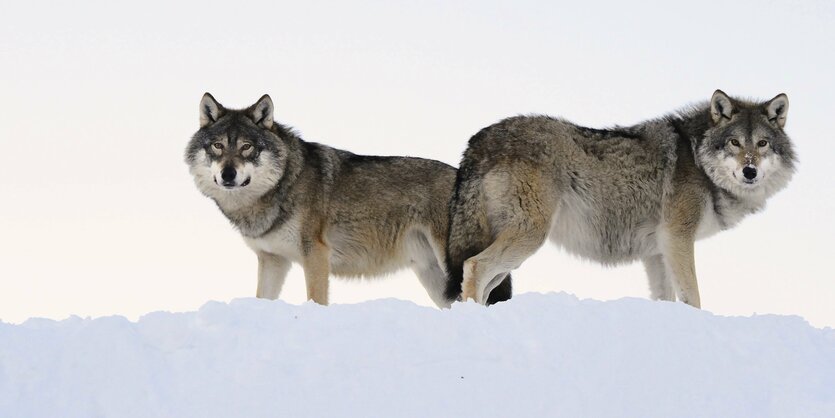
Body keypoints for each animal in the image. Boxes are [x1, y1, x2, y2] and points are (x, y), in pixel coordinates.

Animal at [185, 93, 466, 306]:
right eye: (218, 146)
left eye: (246, 147)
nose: (228, 174)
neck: (285, 184)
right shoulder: (272, 259)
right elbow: (263, 297)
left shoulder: (316, 254)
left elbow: (316, 299)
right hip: (434, 278)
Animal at [444, 90, 796, 306]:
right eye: (734, 142)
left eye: (762, 143)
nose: (749, 171)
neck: (698, 159)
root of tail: (478, 139)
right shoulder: (678, 238)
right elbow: (693, 296)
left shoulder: (658, 251)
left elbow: (666, 297)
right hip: (529, 237)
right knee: (474, 266)